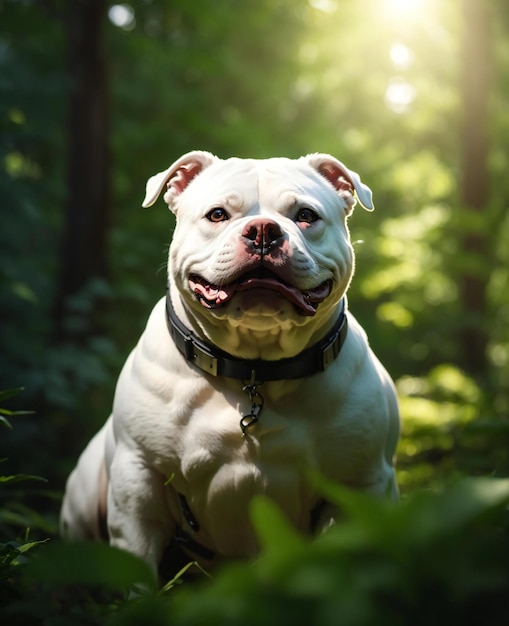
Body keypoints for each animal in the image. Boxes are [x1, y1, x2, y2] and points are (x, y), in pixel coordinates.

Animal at [59, 150, 398, 576]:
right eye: (217, 214)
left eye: (306, 215)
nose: (263, 230)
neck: (253, 372)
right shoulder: (138, 490)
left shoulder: (361, 486)